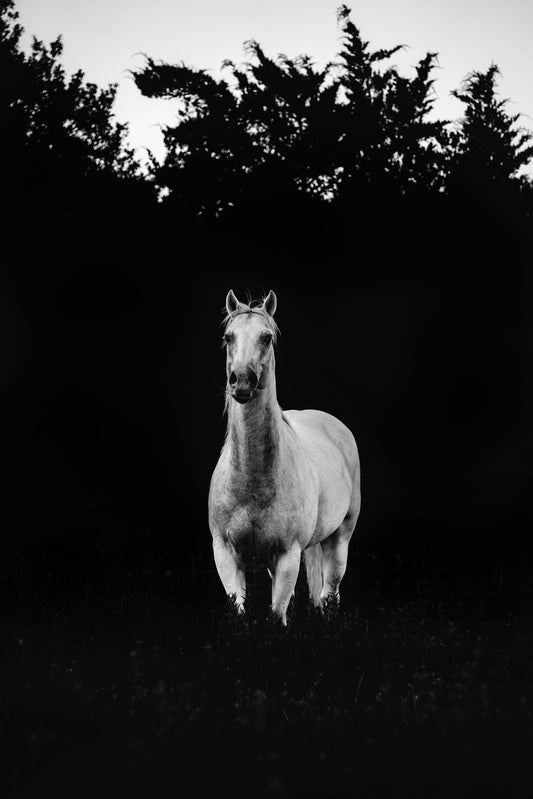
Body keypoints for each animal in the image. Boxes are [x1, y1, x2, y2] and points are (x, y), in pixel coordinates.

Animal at [208, 290, 361, 625]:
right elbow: (243, 612)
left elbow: (277, 616)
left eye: (266, 337)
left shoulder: (288, 555)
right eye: (228, 336)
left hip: (340, 538)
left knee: (330, 593)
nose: (242, 381)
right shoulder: (226, 555)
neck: (252, 478)